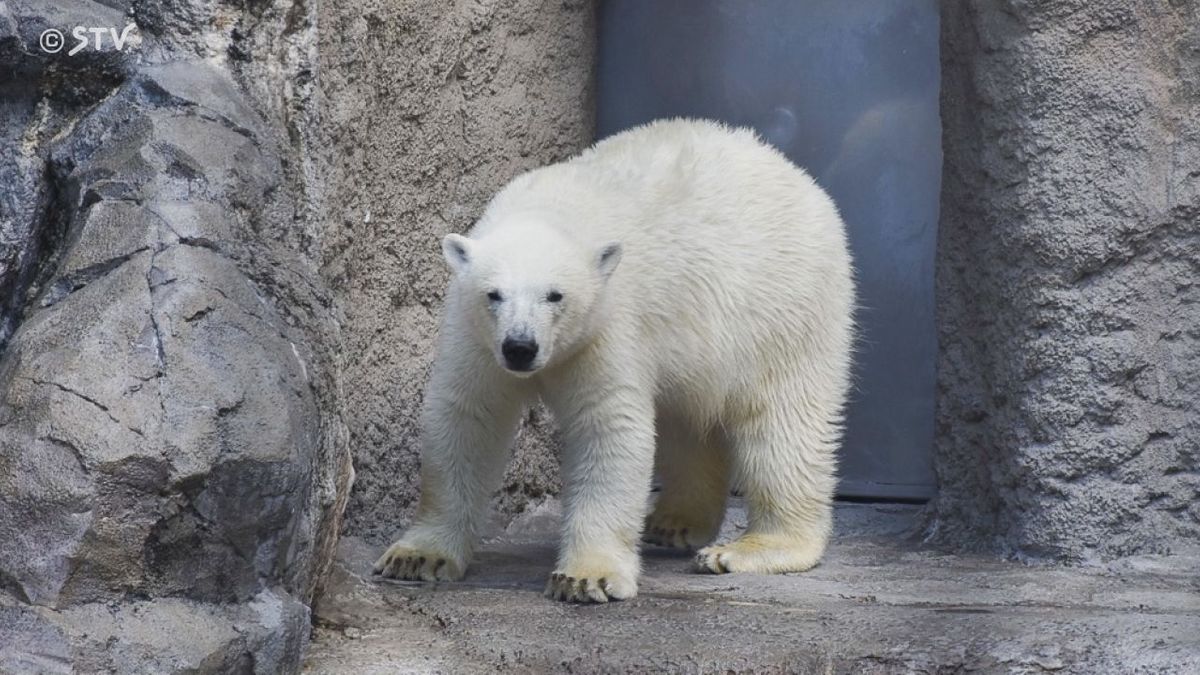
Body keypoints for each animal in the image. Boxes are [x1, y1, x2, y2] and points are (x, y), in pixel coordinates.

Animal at [374, 118, 854, 600]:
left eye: (555, 295)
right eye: (494, 294)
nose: (520, 347)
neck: (554, 209)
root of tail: (796, 174)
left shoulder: (607, 325)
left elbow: (607, 428)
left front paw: (585, 578)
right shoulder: (476, 336)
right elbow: (466, 419)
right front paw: (416, 557)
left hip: (781, 304)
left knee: (782, 422)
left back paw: (747, 548)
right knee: (685, 419)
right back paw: (674, 522)